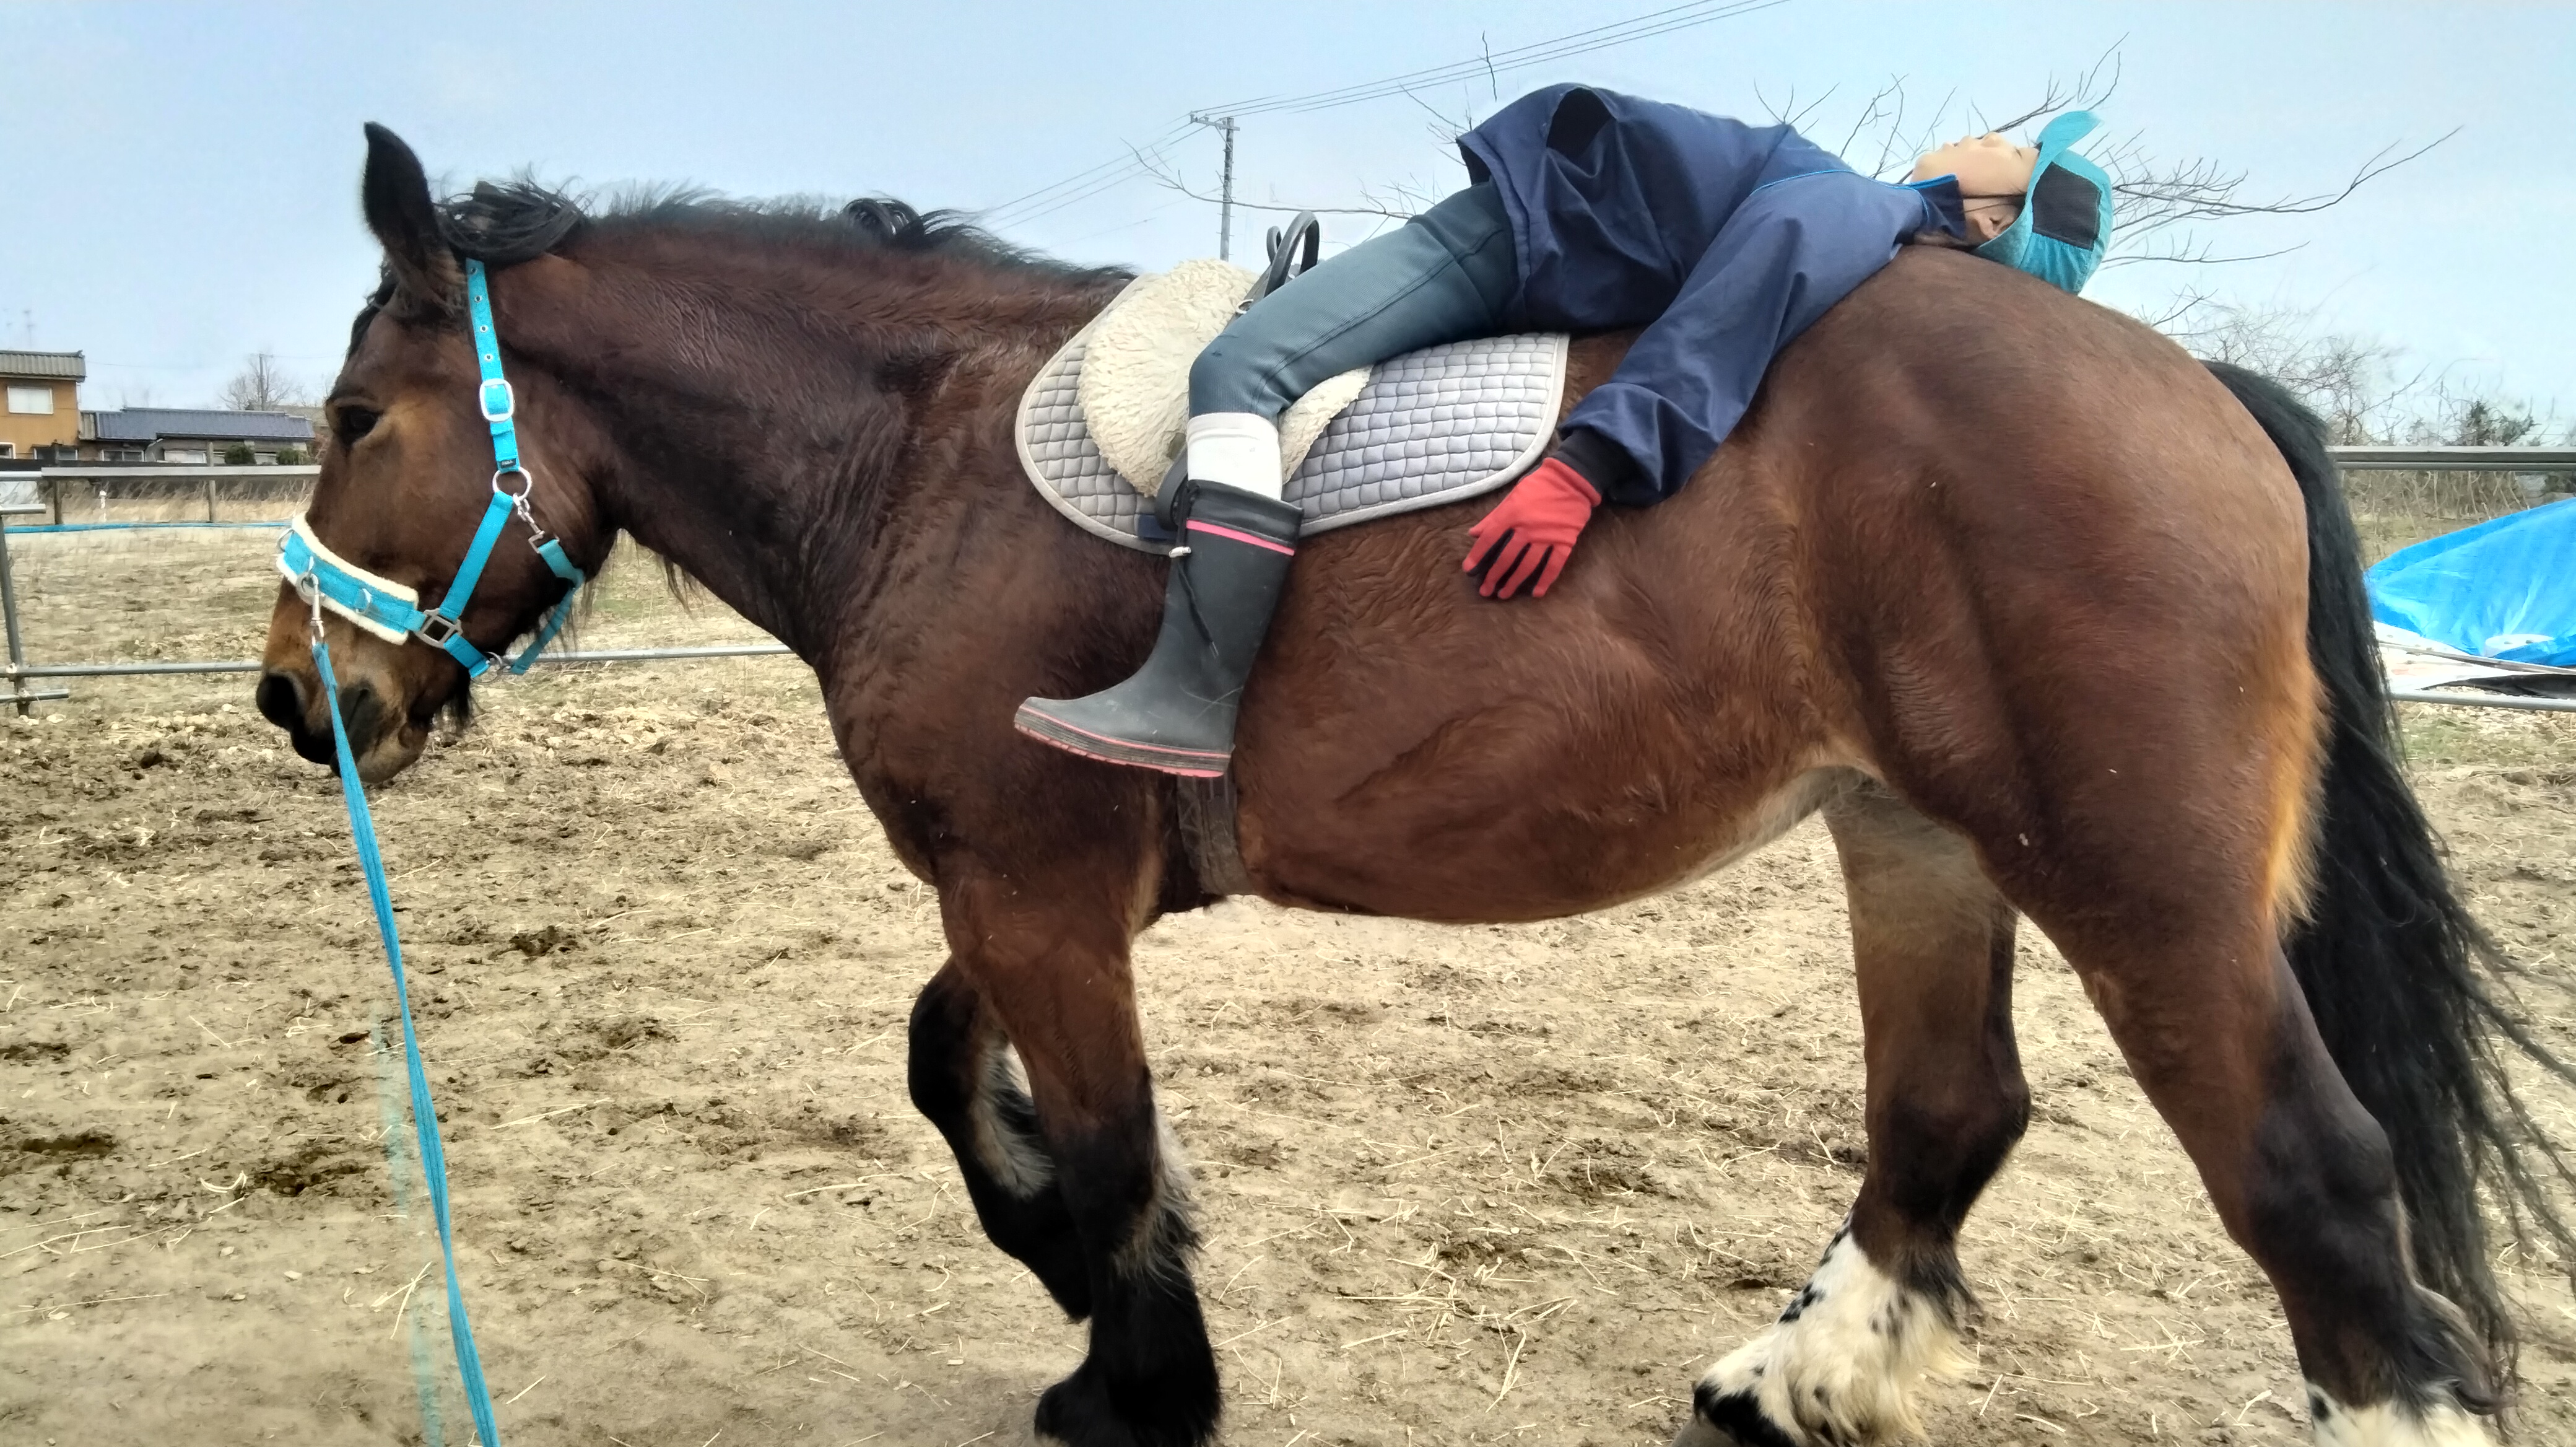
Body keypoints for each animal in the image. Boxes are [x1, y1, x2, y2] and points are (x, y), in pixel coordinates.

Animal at [254, 124, 2568, 1447]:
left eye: (358, 418)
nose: (296, 698)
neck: (925, 455)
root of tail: (2193, 389)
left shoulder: (1035, 892)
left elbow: (1098, 1133)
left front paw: (1136, 1370)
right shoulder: (1020, 892)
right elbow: (953, 1075)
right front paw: (1077, 1268)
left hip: (2138, 891)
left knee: (2310, 1184)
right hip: (1920, 840)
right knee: (1948, 1115)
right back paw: (1798, 1377)